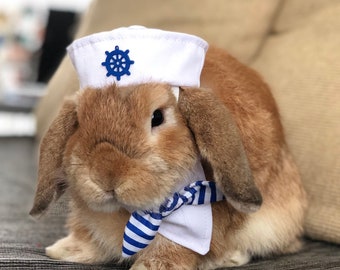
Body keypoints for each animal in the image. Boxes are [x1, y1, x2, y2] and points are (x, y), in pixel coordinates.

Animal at [30, 45, 306, 268]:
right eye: (80, 120)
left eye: (157, 117)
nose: (105, 173)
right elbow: (87, 233)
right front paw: (64, 250)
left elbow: (174, 245)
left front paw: (151, 267)